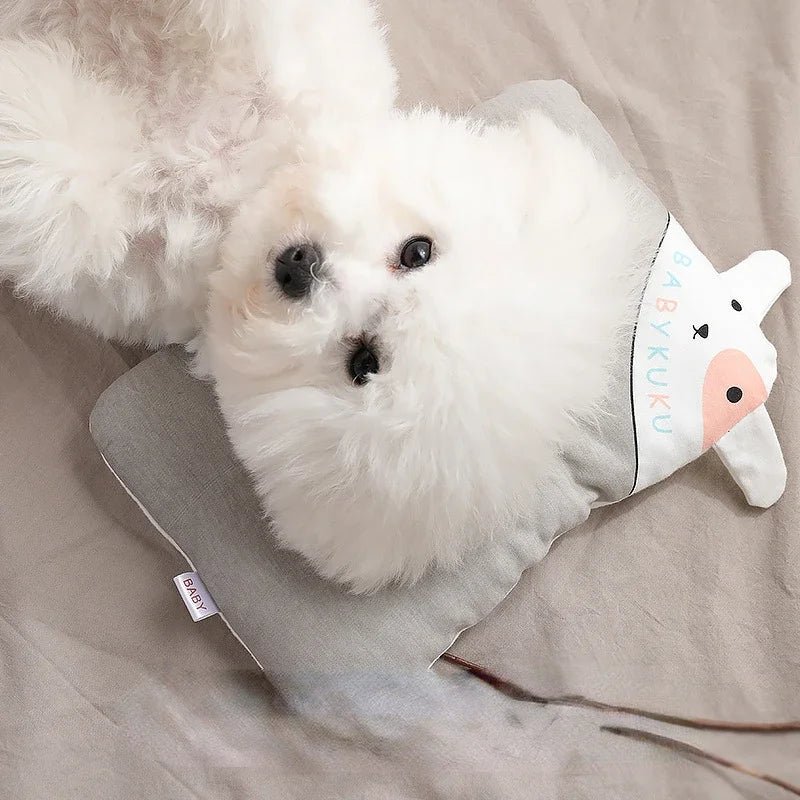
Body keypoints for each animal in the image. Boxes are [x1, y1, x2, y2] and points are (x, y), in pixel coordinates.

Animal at [0, 0, 660, 588]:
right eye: (418, 252)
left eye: (362, 363)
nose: (301, 267)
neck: (235, 198)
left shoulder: (116, 250)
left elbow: (53, 178)